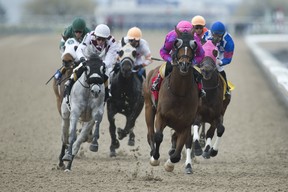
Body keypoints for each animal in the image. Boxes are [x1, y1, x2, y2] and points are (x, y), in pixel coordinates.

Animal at [144, 28, 200, 172]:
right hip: (148, 107)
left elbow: (178, 152)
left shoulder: (185, 124)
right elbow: (158, 136)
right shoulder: (161, 115)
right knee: (150, 133)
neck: (179, 93)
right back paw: (152, 152)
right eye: (176, 44)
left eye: (194, 45)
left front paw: (170, 163)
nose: (184, 65)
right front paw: (155, 158)